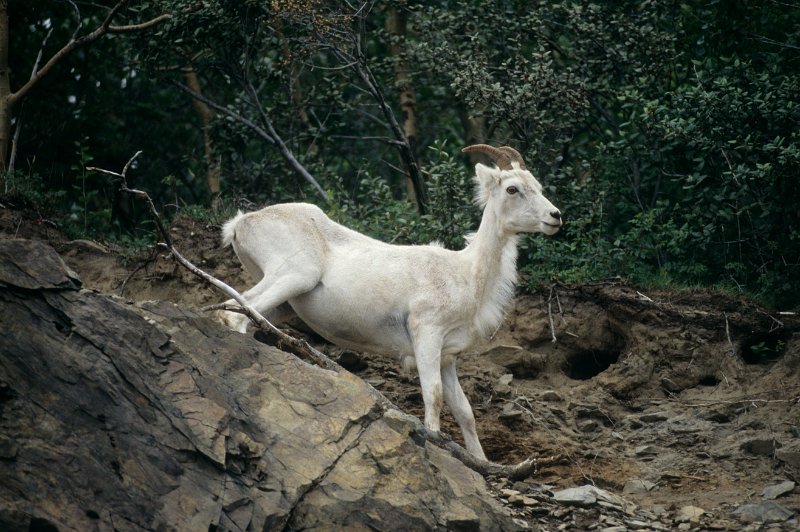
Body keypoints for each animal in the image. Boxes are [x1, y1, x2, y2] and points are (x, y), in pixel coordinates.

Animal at [214, 144, 564, 458]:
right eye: (512, 188)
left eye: (538, 186)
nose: (555, 216)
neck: (466, 274)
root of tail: (240, 224)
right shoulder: (426, 335)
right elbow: (433, 396)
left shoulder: (447, 357)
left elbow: (464, 411)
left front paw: (480, 462)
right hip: (294, 275)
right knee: (237, 314)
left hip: (285, 301)